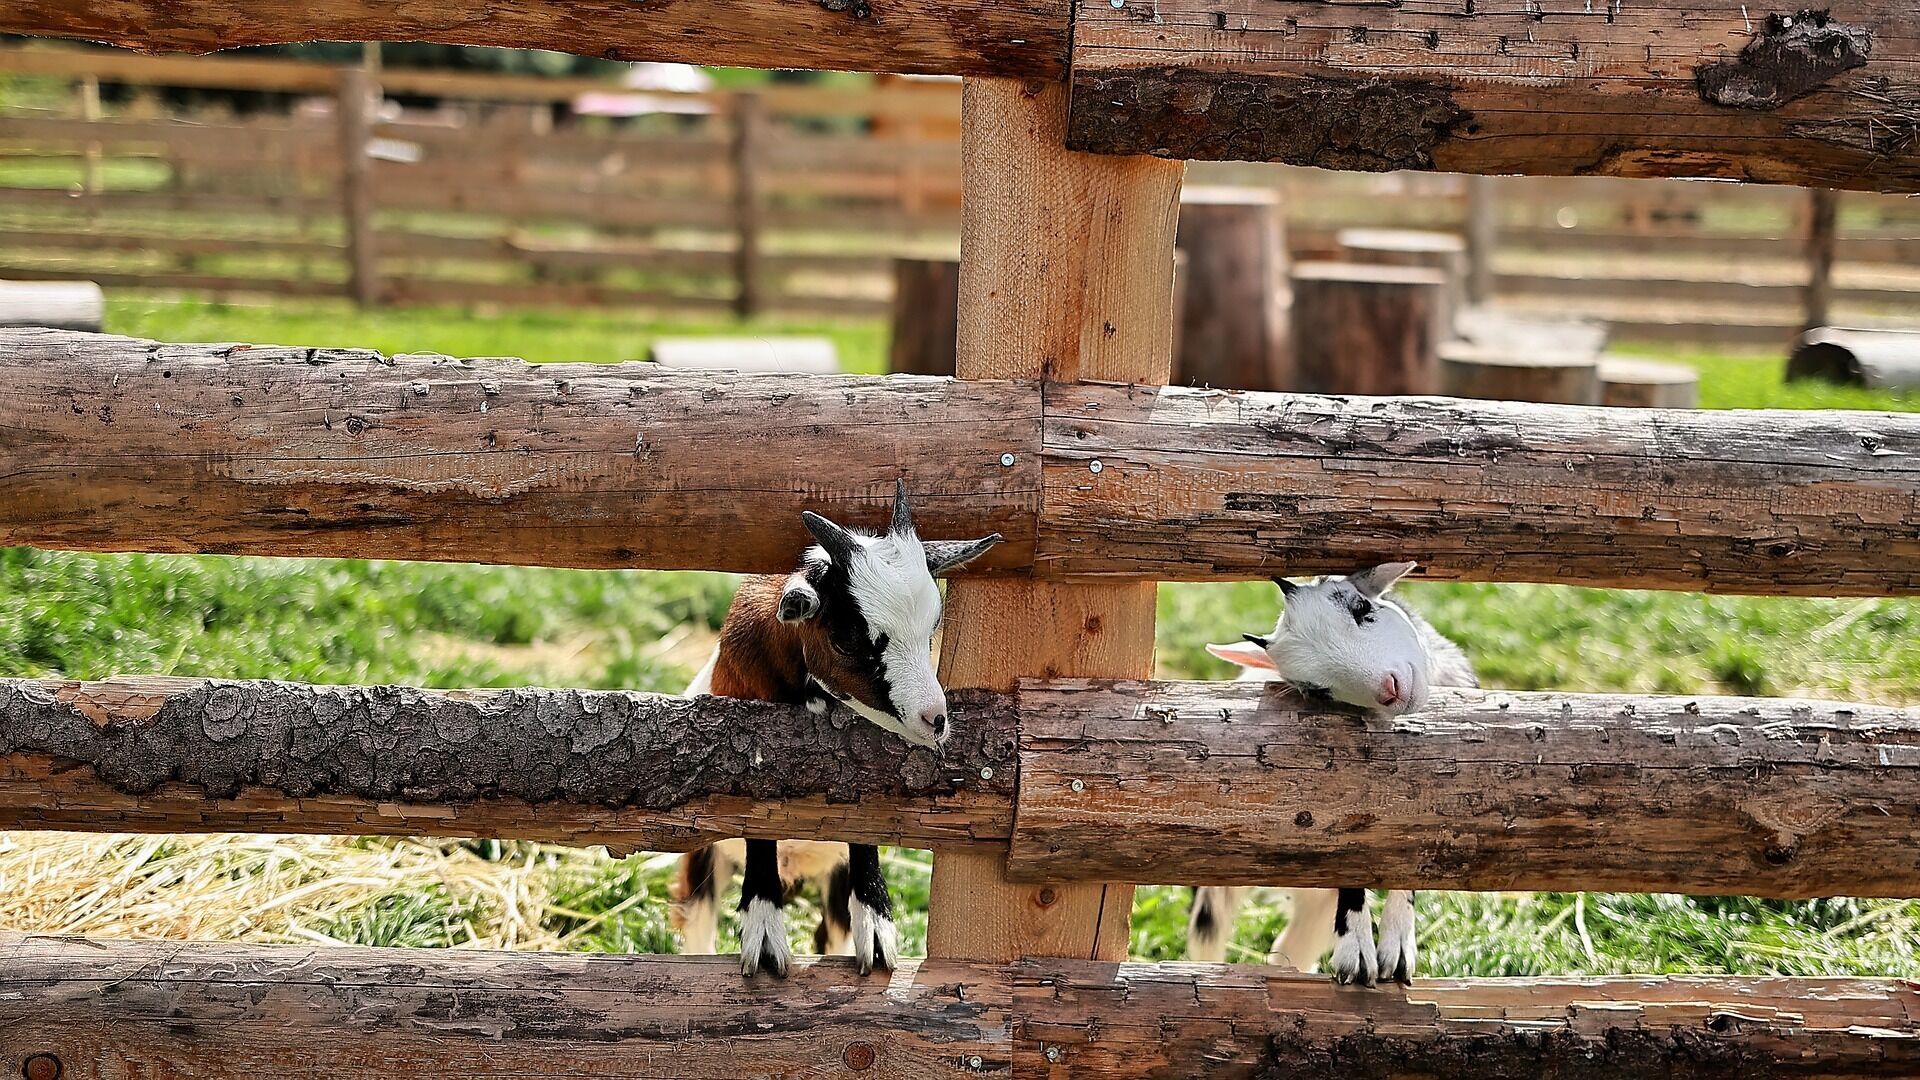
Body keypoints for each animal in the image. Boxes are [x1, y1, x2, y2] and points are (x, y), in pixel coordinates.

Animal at [670, 481, 1001, 978]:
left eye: (932, 629)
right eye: (847, 639)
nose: (935, 719)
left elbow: (864, 832)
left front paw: (878, 929)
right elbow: (758, 824)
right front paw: (764, 931)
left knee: (830, 933)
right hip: (702, 861)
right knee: (697, 922)